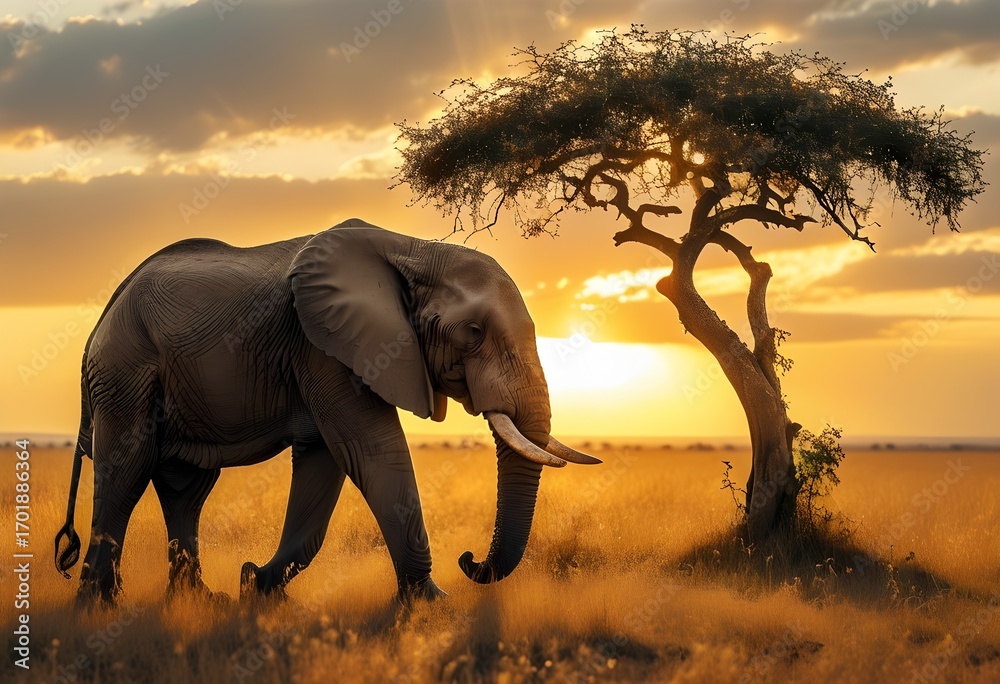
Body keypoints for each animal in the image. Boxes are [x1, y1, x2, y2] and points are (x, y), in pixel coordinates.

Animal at [53, 218, 599, 605]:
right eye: (473, 333)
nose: (468, 559)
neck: (415, 250)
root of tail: (104, 313)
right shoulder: (323, 347)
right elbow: (371, 450)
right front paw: (433, 605)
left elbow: (324, 463)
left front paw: (257, 587)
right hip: (125, 371)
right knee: (126, 472)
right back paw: (99, 606)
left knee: (185, 487)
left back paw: (200, 601)